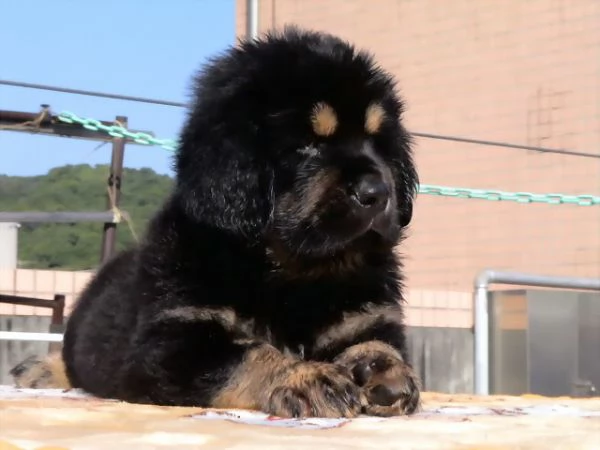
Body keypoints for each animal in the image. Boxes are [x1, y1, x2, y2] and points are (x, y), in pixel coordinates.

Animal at [10, 25, 422, 418]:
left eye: (377, 143)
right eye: (306, 145)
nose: (377, 193)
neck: (292, 272)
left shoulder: (367, 315)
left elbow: (377, 341)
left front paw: (386, 371)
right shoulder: (172, 341)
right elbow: (248, 354)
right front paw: (304, 377)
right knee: (72, 362)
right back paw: (38, 369)